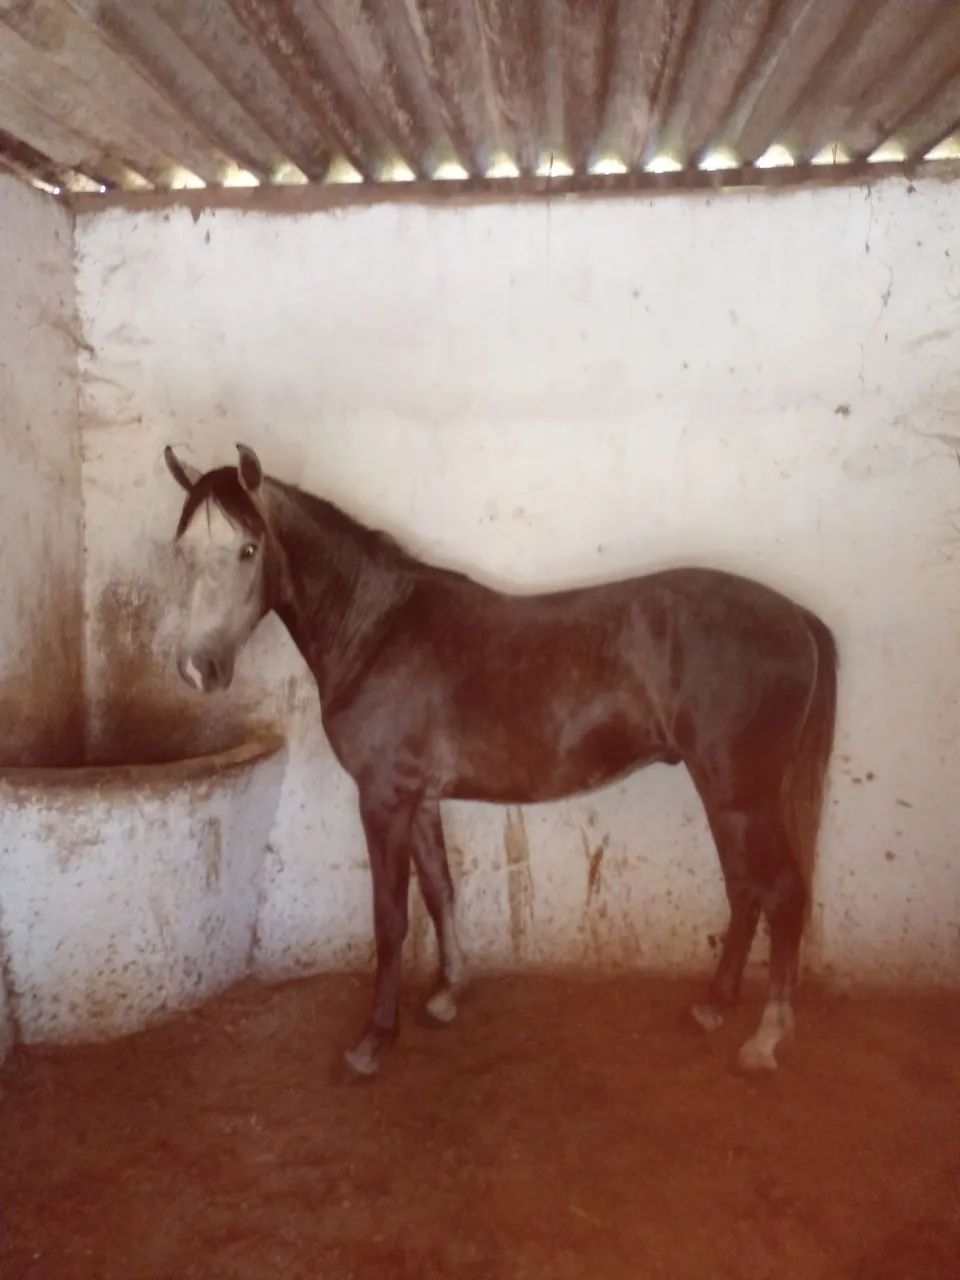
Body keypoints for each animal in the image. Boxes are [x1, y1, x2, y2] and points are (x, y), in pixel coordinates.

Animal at [164, 443, 837, 1079]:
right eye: (182, 552)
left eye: (249, 549)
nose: (198, 670)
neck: (376, 629)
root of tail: (797, 617)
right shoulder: (421, 798)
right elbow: (440, 889)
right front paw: (446, 995)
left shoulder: (384, 798)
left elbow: (390, 918)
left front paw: (373, 1042)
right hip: (726, 794)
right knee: (745, 888)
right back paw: (713, 1006)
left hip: (738, 793)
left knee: (782, 894)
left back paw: (763, 1041)